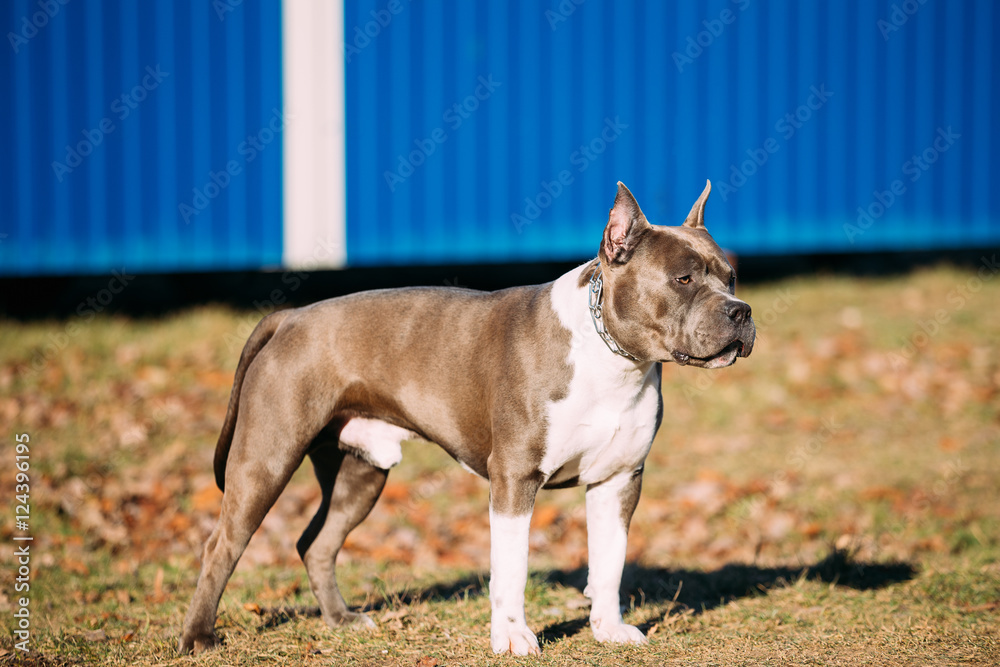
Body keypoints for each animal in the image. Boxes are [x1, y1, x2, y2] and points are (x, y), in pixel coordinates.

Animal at [180, 180, 752, 656]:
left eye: (731, 276)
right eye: (683, 279)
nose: (742, 310)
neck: (612, 358)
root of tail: (291, 316)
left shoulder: (618, 481)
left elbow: (609, 563)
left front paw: (608, 629)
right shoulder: (515, 479)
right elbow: (512, 569)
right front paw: (514, 637)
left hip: (360, 474)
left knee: (316, 543)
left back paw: (341, 620)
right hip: (266, 461)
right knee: (222, 544)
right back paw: (199, 638)